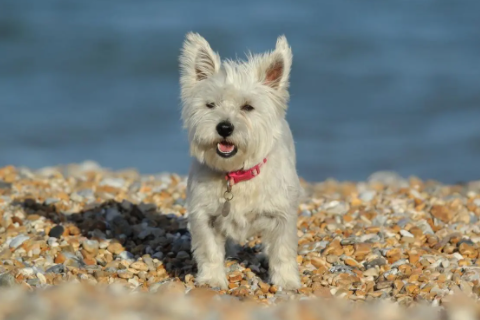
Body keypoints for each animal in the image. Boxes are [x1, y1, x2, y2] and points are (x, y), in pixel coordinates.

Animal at [180, 32, 300, 290]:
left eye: (248, 107)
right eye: (210, 104)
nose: (224, 127)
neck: (236, 174)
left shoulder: (281, 215)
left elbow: (282, 251)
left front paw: (287, 282)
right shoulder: (204, 215)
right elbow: (210, 251)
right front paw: (212, 280)